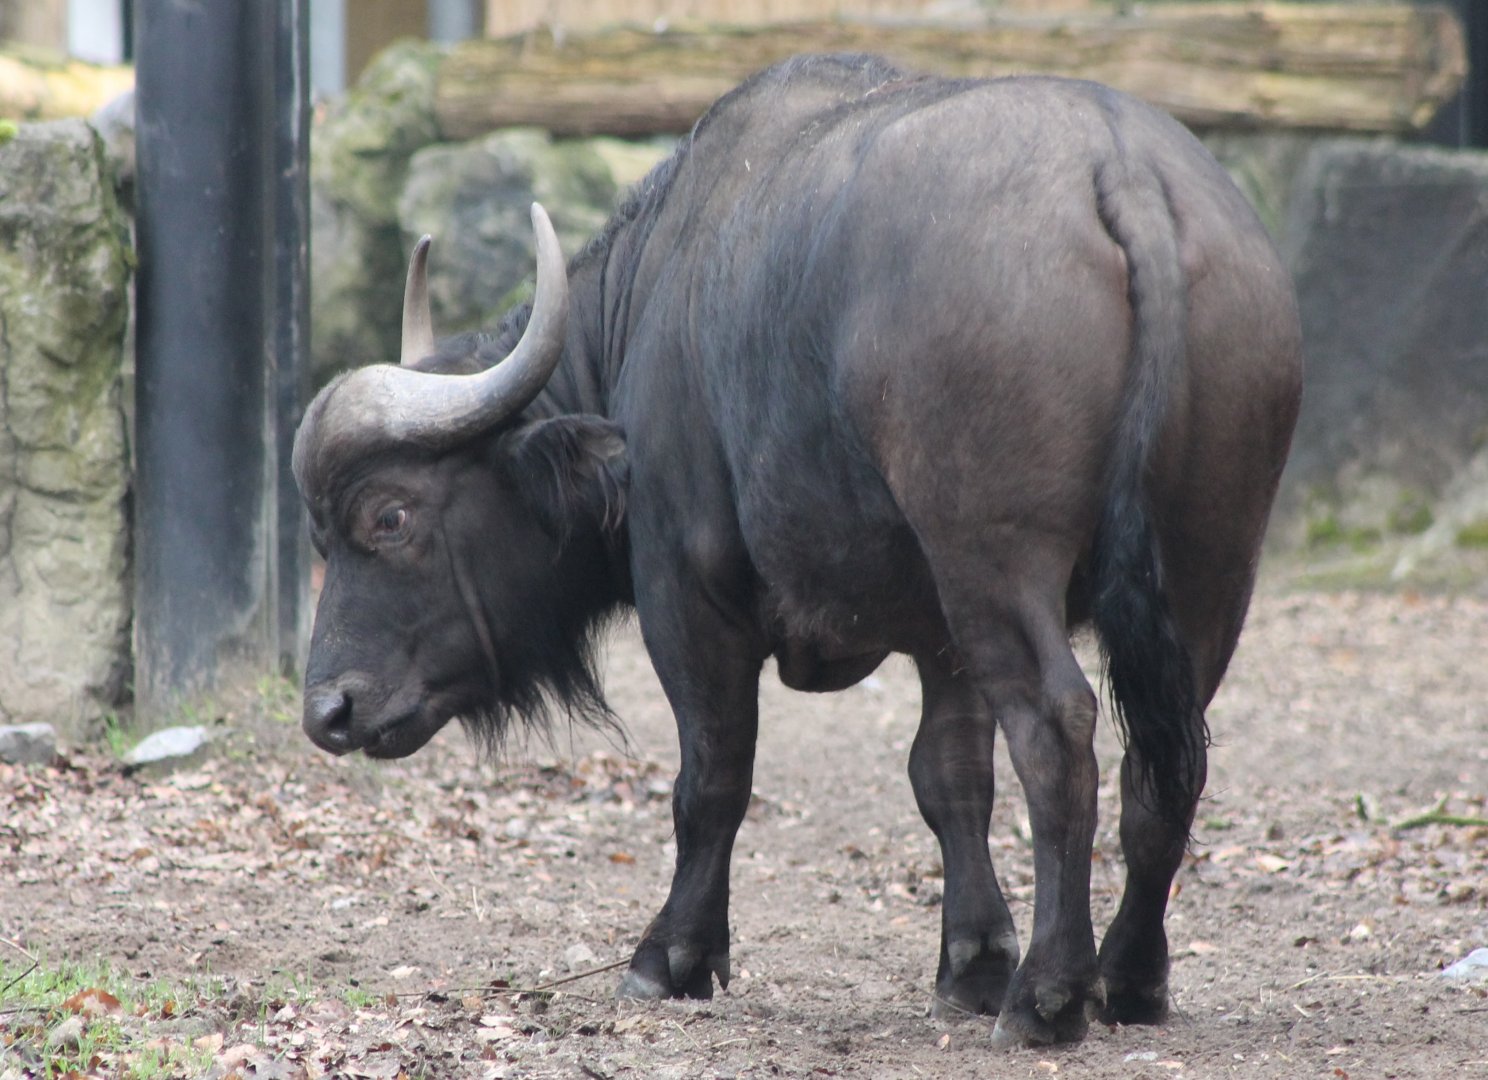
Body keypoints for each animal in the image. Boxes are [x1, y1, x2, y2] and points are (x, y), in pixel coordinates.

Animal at [293, 53, 1301, 1046]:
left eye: (388, 517)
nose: (329, 711)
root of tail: (1122, 171)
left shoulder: (687, 598)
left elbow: (712, 777)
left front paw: (673, 956)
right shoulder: (939, 637)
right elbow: (949, 776)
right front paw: (972, 962)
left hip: (997, 566)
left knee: (1059, 732)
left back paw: (1050, 995)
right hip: (1207, 573)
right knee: (1165, 763)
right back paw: (1129, 977)